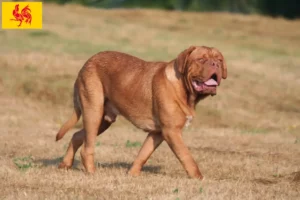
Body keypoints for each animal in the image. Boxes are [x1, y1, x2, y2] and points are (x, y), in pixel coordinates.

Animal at [55, 45, 227, 180]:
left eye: (219, 60)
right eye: (201, 60)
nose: (215, 64)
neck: (184, 90)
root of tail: (87, 62)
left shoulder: (157, 133)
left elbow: (144, 153)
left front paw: (132, 174)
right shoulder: (172, 131)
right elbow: (187, 157)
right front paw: (199, 178)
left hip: (103, 121)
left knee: (77, 135)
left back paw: (65, 164)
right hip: (94, 112)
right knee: (87, 147)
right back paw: (91, 172)